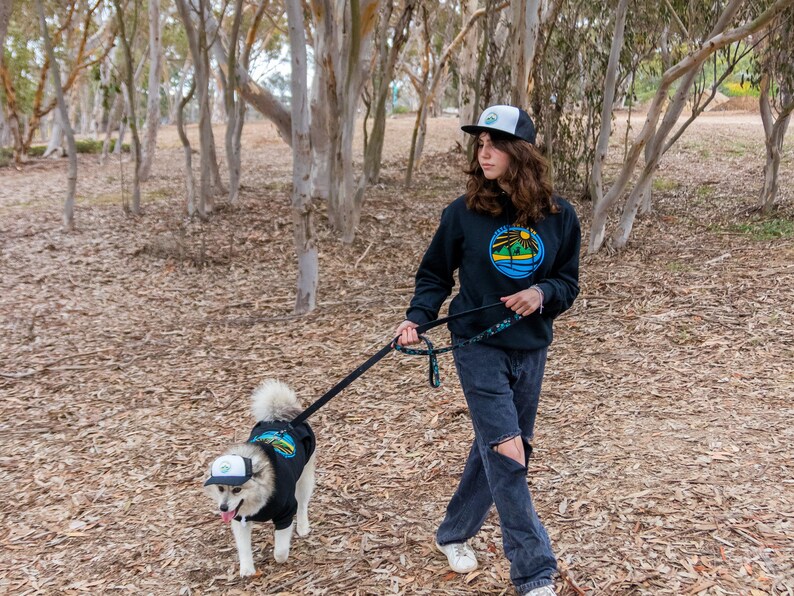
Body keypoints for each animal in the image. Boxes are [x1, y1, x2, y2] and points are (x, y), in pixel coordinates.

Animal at [204, 382, 316, 576]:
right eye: (220, 488)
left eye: (237, 489)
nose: (223, 508)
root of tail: (280, 418)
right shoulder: (239, 519)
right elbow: (243, 548)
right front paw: (247, 569)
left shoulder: (286, 514)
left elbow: (280, 550)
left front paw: (280, 557)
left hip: (304, 480)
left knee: (302, 505)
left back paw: (303, 527)